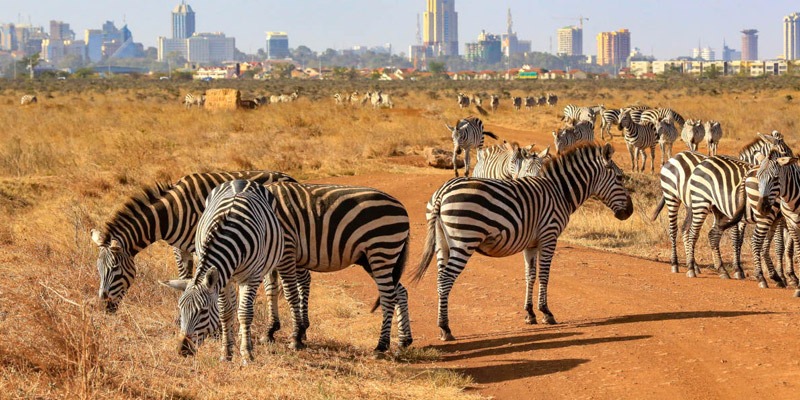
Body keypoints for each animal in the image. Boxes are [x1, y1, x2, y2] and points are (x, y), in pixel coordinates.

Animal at [90, 169, 296, 312]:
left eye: (115, 269)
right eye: (98, 269)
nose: (104, 306)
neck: (171, 213)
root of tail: (290, 178)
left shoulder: (200, 247)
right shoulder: (180, 249)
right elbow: (185, 278)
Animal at [160, 180, 284, 362]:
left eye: (203, 311)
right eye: (180, 309)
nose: (182, 350)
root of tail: (241, 180)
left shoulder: (251, 277)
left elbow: (245, 313)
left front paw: (247, 353)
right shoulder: (222, 279)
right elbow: (225, 313)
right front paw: (226, 352)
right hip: (229, 279)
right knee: (233, 306)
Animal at [260, 183, 412, 352]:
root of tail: (401, 207)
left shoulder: (287, 249)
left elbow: (290, 293)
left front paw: (295, 337)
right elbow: (270, 290)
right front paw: (270, 331)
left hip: (381, 249)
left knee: (389, 296)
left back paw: (381, 345)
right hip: (373, 258)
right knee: (400, 291)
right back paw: (404, 340)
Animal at [412, 142, 632, 340]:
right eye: (620, 178)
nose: (629, 212)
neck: (559, 192)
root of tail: (442, 192)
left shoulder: (531, 244)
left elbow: (530, 276)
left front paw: (530, 313)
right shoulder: (549, 236)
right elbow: (544, 276)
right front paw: (546, 313)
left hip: (442, 243)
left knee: (440, 279)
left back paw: (442, 326)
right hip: (464, 240)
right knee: (446, 279)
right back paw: (445, 328)